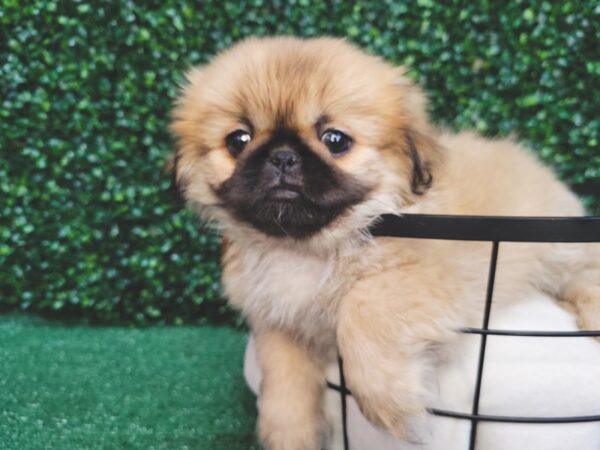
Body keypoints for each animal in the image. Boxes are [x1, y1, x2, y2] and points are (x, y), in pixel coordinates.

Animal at [170, 37, 600, 448]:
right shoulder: (279, 321)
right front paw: (289, 433)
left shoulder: (430, 280)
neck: (305, 246)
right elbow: (283, 379)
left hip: (558, 247)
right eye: (238, 140)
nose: (282, 156)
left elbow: (361, 307)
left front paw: (392, 405)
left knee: (584, 272)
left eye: (335, 139)